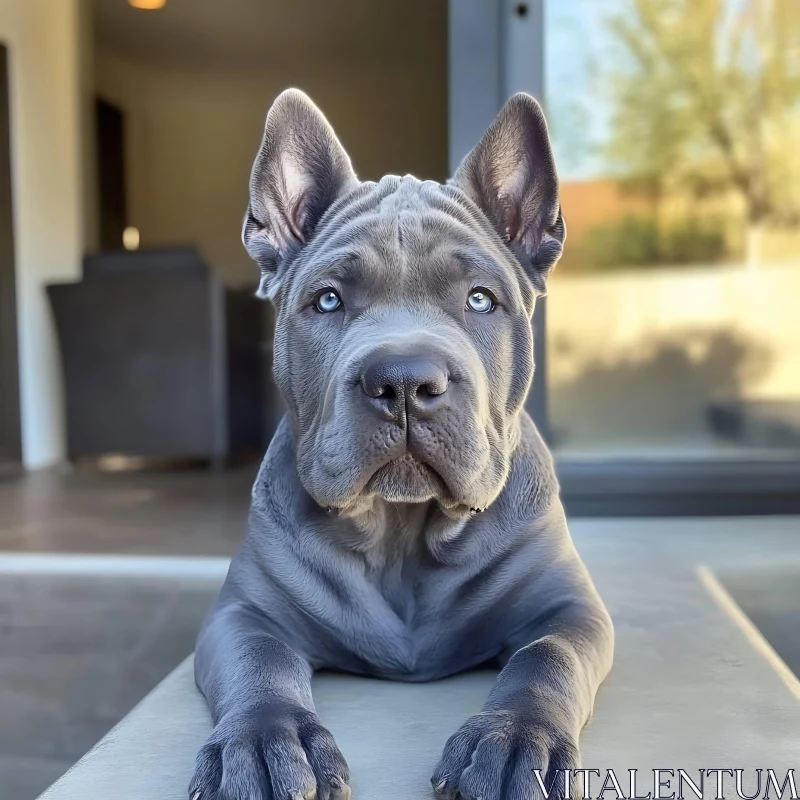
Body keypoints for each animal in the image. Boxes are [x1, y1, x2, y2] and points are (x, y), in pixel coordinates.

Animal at [191, 89, 616, 800]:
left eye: (481, 300)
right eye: (327, 301)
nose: (406, 380)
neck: (402, 530)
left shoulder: (569, 609)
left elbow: (544, 661)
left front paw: (514, 741)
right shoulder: (243, 613)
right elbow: (260, 662)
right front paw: (261, 742)